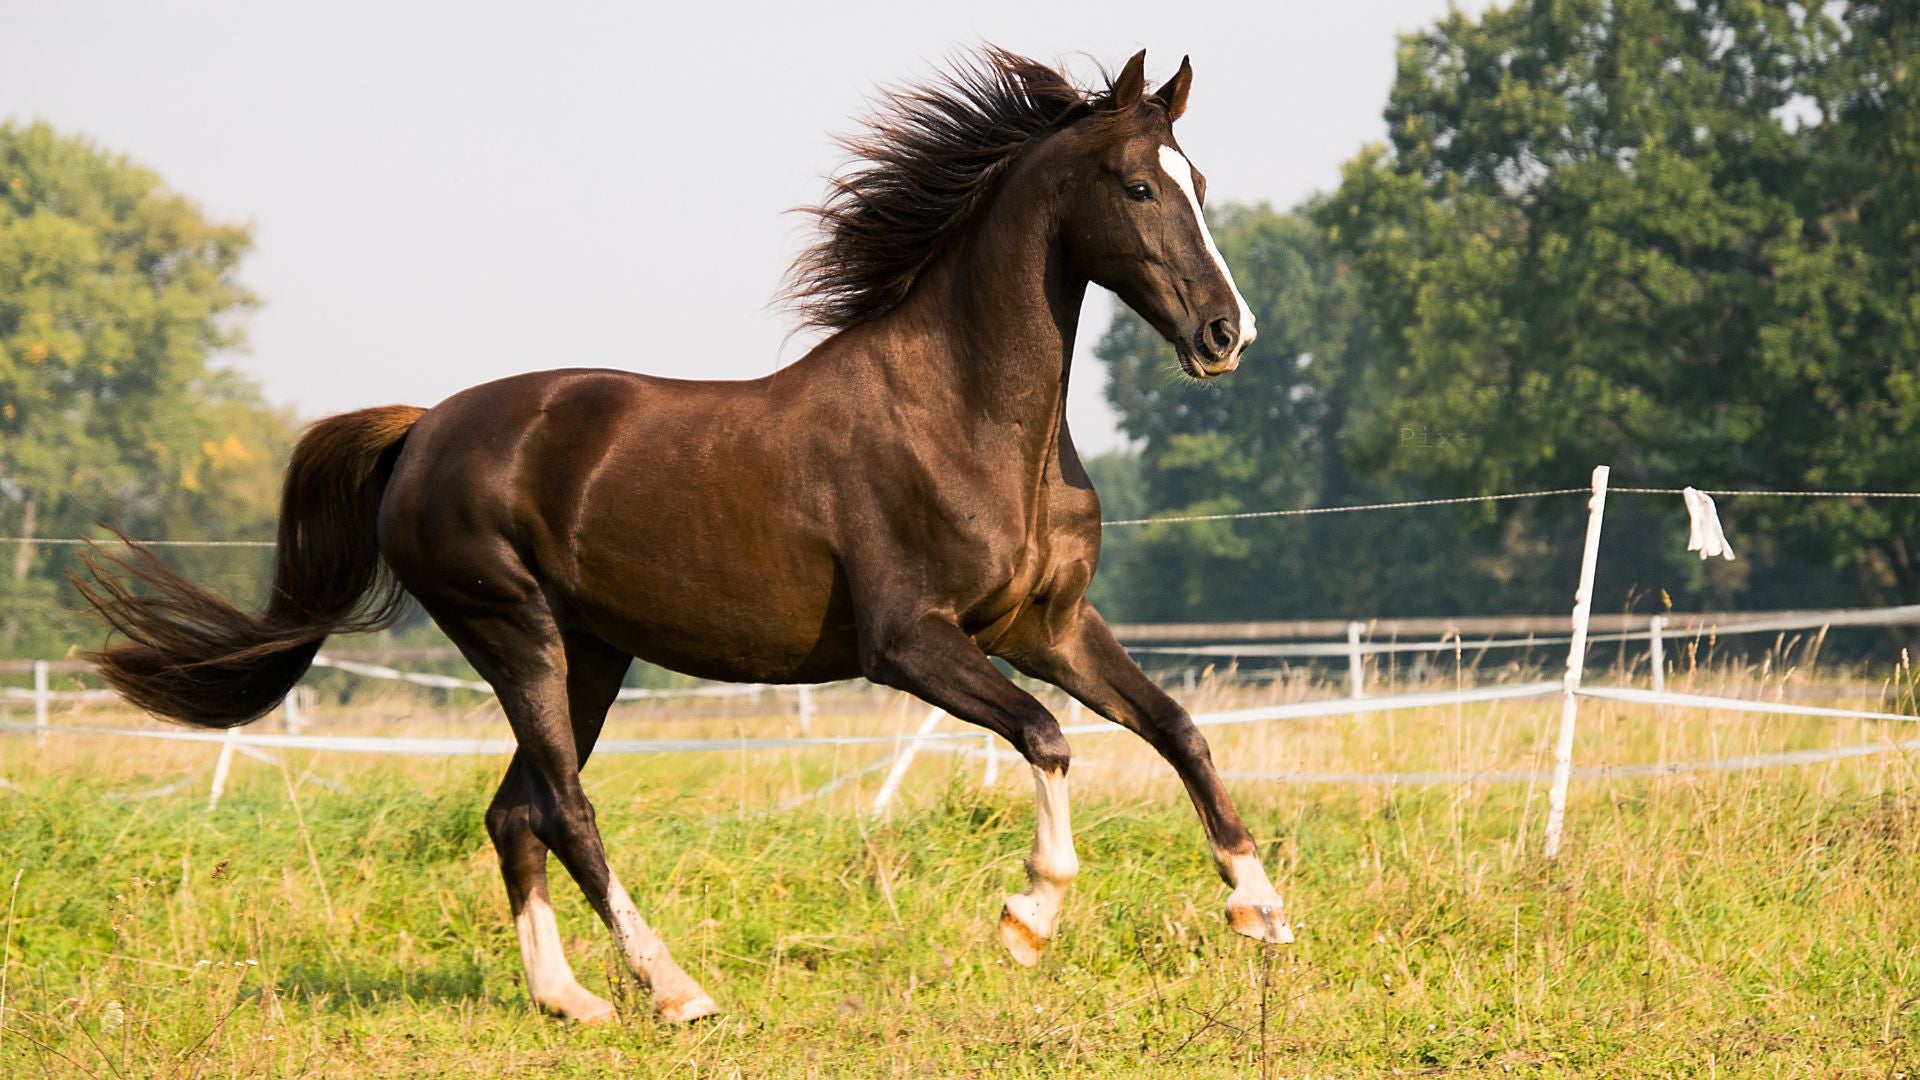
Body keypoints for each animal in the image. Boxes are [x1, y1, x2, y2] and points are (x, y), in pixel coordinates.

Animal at [78, 47, 1289, 1023]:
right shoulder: (911, 644)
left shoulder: (1048, 625)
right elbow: (1047, 737)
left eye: (1199, 182)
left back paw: (569, 1001)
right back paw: (674, 989)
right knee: (563, 808)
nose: (1226, 335)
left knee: (513, 811)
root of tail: (422, 431)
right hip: (515, 632)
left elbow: (1177, 728)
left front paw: (1262, 909)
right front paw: (1028, 918)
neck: (966, 418)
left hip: (591, 654)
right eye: (1138, 185)